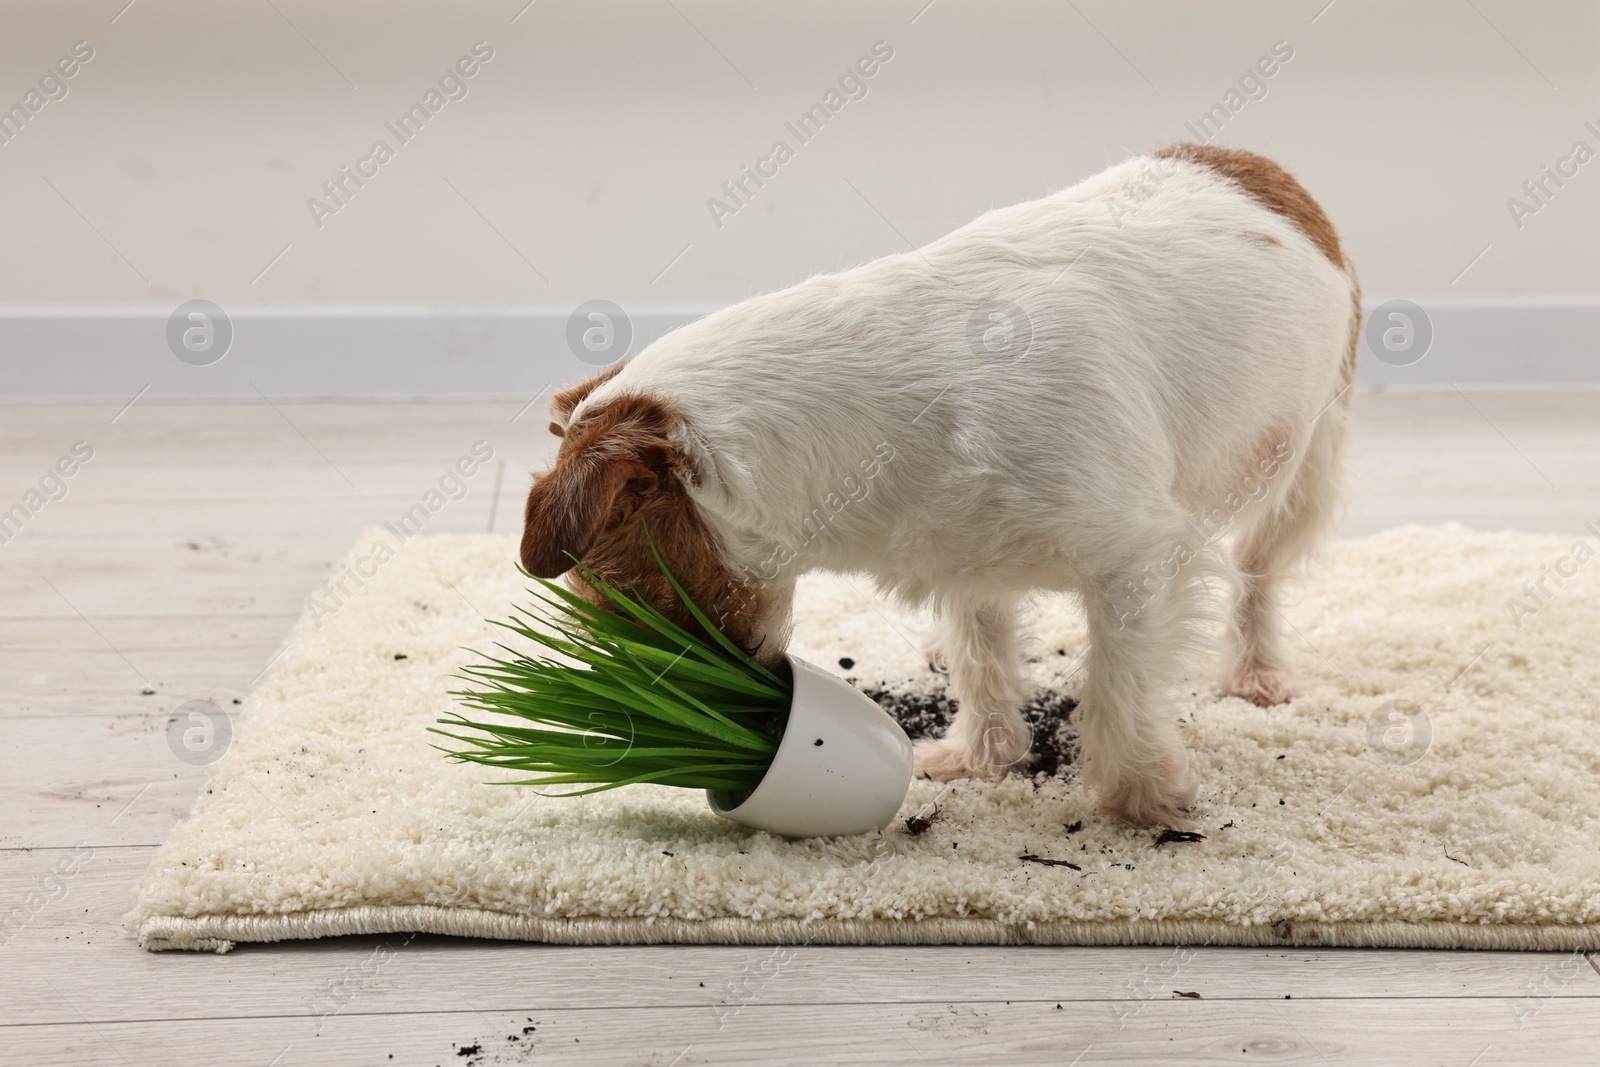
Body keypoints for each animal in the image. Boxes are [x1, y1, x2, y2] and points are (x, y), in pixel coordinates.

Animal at [518, 143, 1356, 825]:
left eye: (622, 597)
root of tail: (1249, 162)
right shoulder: (964, 558)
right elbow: (982, 653)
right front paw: (982, 753)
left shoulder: (1136, 562)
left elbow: (1118, 688)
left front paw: (1141, 794)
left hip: (1302, 463)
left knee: (1258, 569)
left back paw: (1255, 669)